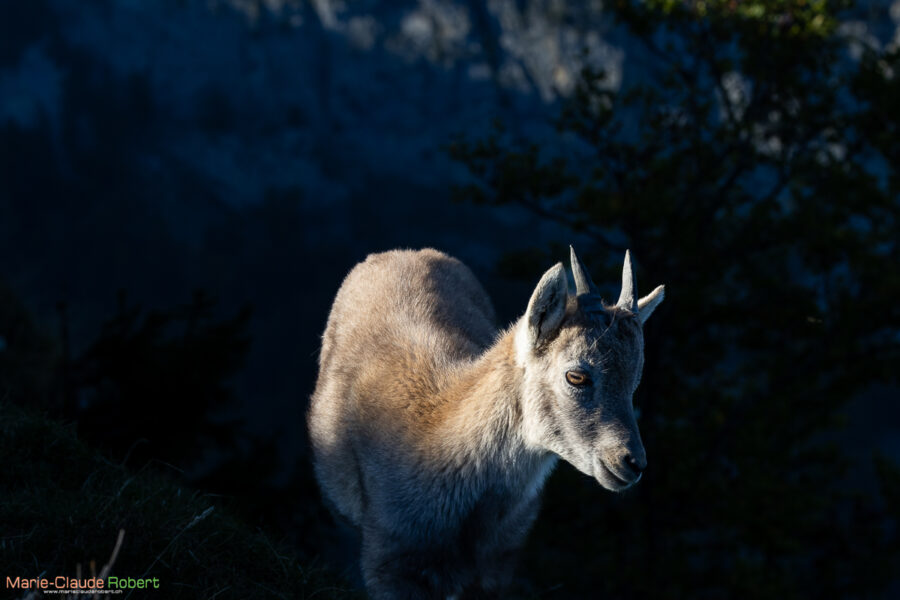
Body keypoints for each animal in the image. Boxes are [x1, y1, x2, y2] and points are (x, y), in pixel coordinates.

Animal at [308, 246, 665, 599]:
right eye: (576, 375)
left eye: (634, 382)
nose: (631, 462)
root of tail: (401, 252)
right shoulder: (388, 568)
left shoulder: (496, 568)